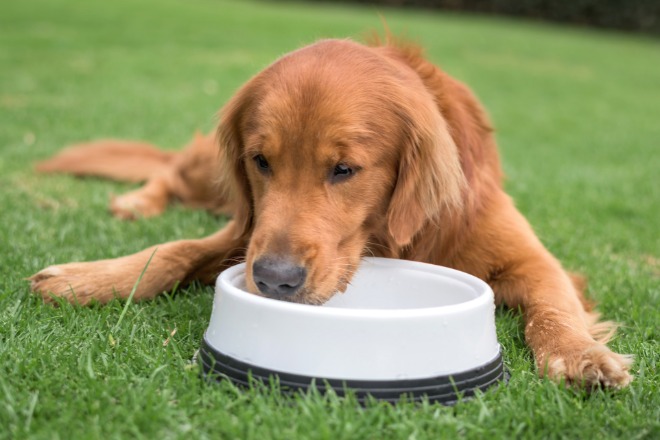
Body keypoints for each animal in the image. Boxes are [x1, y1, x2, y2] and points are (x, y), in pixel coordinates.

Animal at [32, 37, 636, 388]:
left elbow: (552, 303)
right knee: (171, 169)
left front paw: (579, 354)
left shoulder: (531, 257)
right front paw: (89, 277)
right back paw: (136, 200)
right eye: (261, 160)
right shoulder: (247, 231)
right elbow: (174, 250)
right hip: (214, 178)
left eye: (344, 169)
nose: (275, 279)